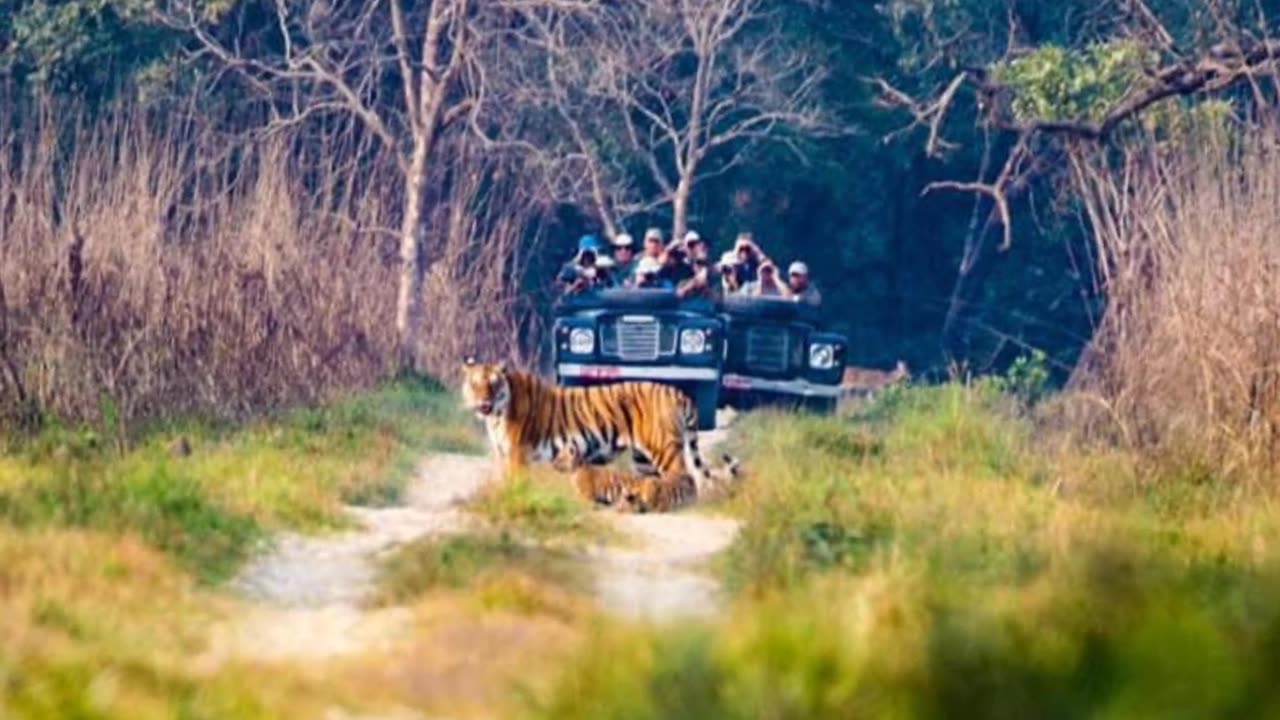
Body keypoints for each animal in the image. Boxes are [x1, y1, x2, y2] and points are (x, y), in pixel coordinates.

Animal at [460, 353, 721, 486]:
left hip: (664, 448)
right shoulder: (502, 454)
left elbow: (515, 483)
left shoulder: (517, 454)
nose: (484, 404)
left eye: (494, 384)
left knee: (684, 475)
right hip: (644, 458)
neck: (496, 416)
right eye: (476, 384)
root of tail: (677, 392)